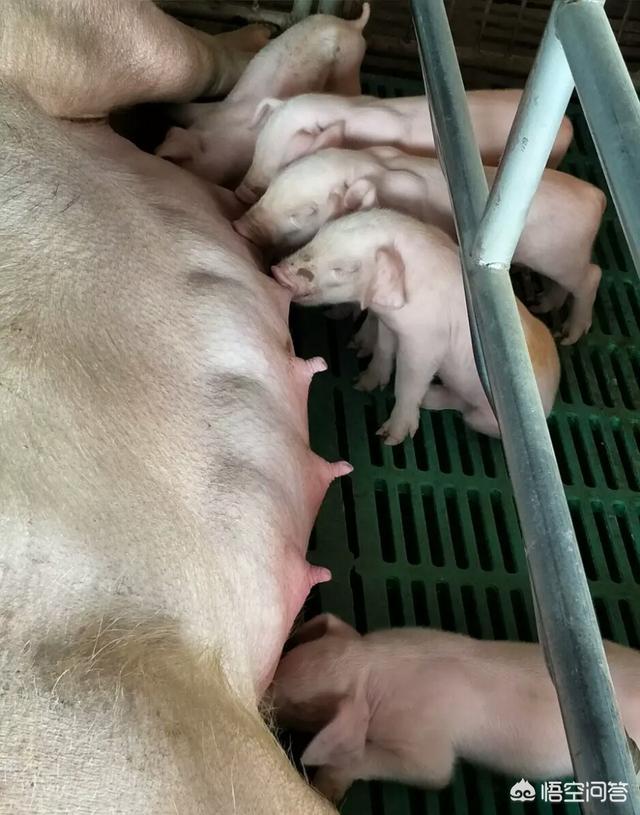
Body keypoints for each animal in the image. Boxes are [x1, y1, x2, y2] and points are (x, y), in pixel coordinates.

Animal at [234, 146, 605, 344]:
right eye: (273, 186)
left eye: (305, 212)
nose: (240, 226)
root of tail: (596, 196)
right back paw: (544, 305)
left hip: (562, 258)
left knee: (593, 276)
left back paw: (569, 335)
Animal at [271, 614, 640, 803]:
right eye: (283, 661)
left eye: (297, 707)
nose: (264, 697)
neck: (373, 666)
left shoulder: (425, 741)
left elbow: (436, 773)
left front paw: (322, 789)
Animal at [272, 210, 560, 444]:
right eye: (318, 235)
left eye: (343, 269)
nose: (277, 272)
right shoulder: (390, 325)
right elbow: (383, 350)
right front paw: (362, 384)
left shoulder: (425, 342)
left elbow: (409, 380)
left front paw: (389, 437)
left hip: (485, 419)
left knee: (464, 410)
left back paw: (430, 398)